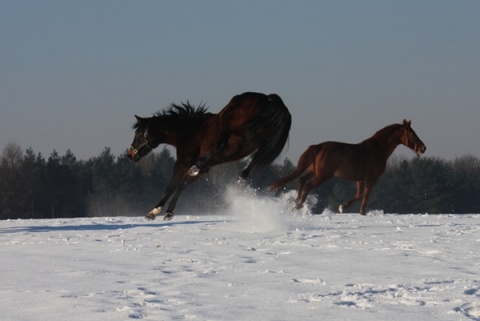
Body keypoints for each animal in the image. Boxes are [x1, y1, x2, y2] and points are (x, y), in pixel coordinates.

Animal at [127, 90, 290, 220]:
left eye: (139, 133)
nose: (130, 155)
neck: (188, 131)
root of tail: (268, 99)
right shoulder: (203, 170)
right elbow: (183, 185)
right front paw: (169, 212)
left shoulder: (182, 162)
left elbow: (172, 186)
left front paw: (153, 212)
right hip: (262, 141)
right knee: (252, 162)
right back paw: (239, 180)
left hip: (234, 122)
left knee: (222, 141)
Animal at [272, 119, 426, 214]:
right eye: (412, 133)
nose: (423, 148)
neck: (376, 150)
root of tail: (318, 147)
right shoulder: (372, 178)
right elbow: (365, 196)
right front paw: (360, 212)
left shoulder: (359, 179)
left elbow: (358, 195)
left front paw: (341, 207)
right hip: (323, 175)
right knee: (308, 185)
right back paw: (298, 206)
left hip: (313, 171)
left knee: (302, 180)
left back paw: (295, 204)